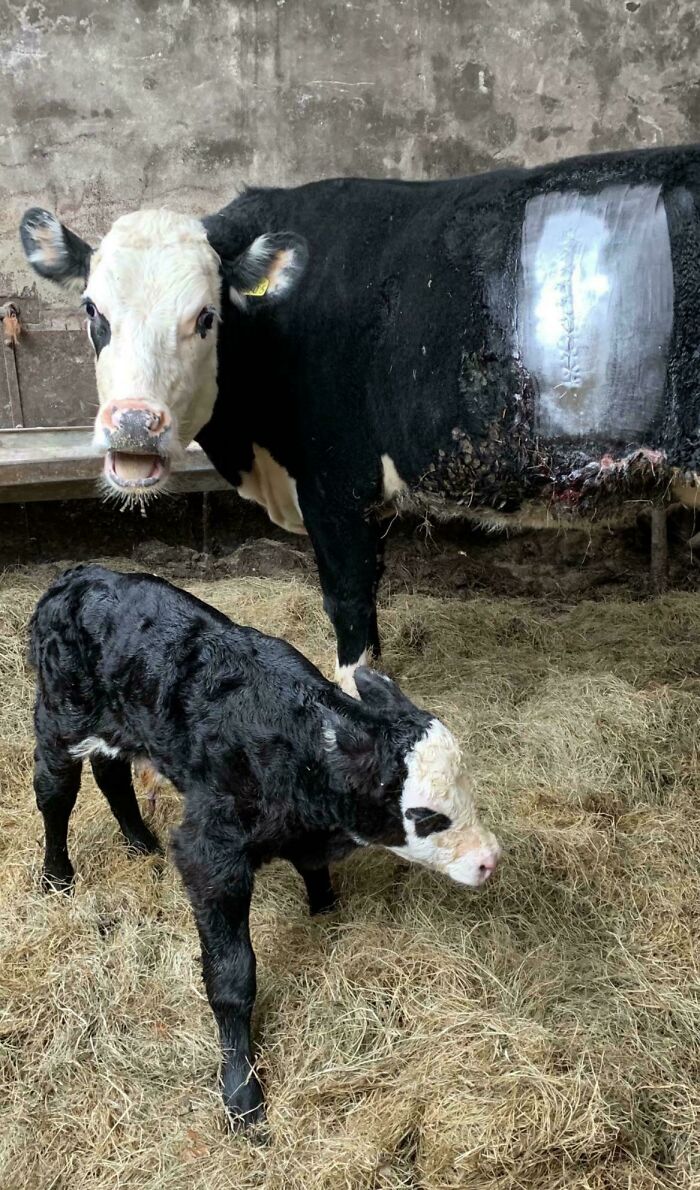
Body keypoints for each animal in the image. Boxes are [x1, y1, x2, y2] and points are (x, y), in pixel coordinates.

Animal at [29, 564, 501, 1127]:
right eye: (426, 817)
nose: (489, 860)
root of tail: (79, 576)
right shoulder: (210, 855)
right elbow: (232, 978)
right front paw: (242, 1094)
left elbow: (312, 868)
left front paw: (326, 907)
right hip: (58, 718)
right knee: (55, 792)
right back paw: (57, 876)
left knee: (110, 773)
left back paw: (140, 842)